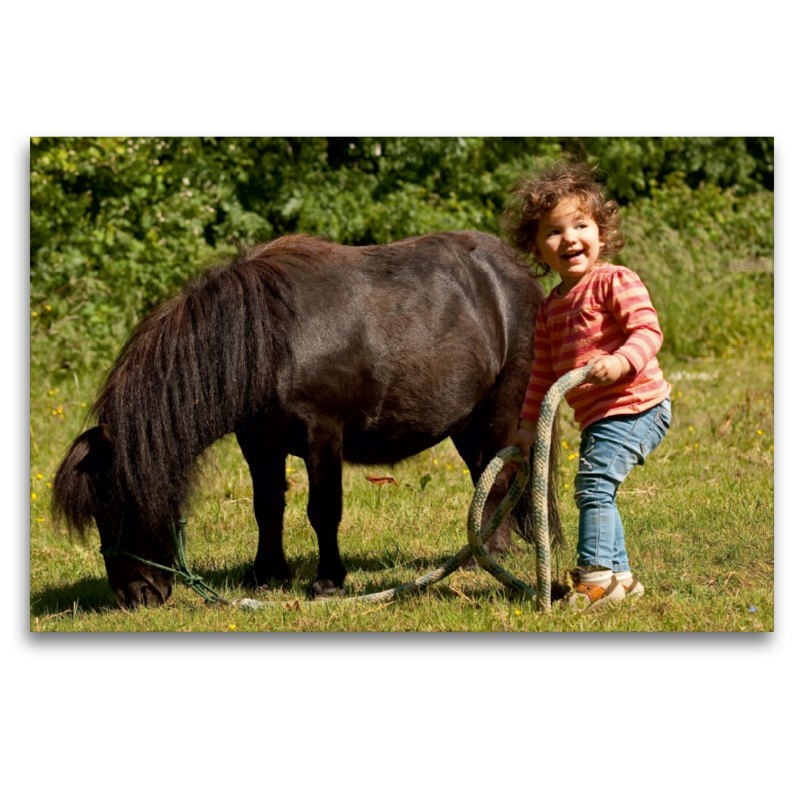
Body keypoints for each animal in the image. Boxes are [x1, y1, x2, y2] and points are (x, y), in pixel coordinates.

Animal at [53, 231, 560, 608]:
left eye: (121, 504)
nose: (135, 595)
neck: (269, 342)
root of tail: (518, 274)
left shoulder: (322, 438)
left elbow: (323, 510)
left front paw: (328, 582)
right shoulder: (258, 442)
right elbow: (267, 507)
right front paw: (265, 574)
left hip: (501, 411)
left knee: (501, 476)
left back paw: (482, 558)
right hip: (466, 424)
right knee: (490, 475)